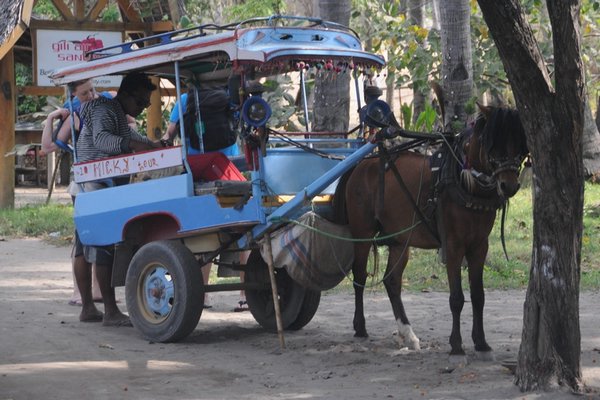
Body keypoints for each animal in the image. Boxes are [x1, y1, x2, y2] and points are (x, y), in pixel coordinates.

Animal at [332, 104, 528, 360]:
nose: (509, 185)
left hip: (399, 239)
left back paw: (408, 333)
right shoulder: (453, 245)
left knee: (392, 281)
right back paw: (360, 326)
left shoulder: (479, 246)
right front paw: (456, 344)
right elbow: (457, 298)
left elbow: (478, 296)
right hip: (362, 233)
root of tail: (362, 164)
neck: (465, 182)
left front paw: (481, 342)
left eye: (520, 146)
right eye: (493, 144)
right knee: (360, 277)